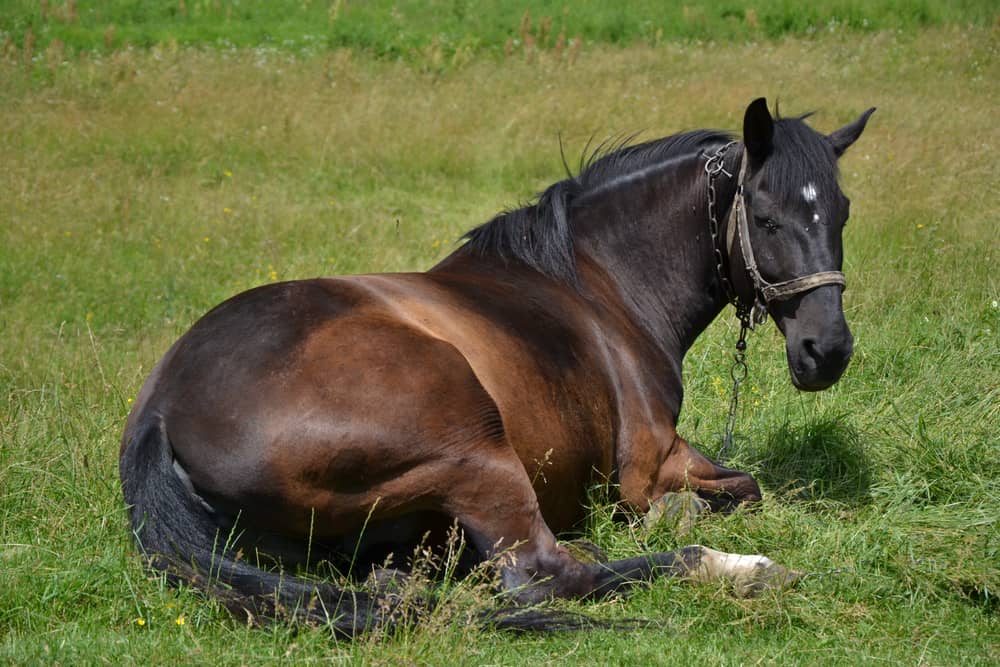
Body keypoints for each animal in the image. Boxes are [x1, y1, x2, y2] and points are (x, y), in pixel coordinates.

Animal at [121, 96, 876, 636]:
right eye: (767, 217)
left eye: (843, 212)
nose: (827, 350)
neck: (599, 282)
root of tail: (160, 412)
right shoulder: (653, 460)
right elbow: (743, 488)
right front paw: (682, 519)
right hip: (476, 452)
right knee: (550, 575)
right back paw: (741, 570)